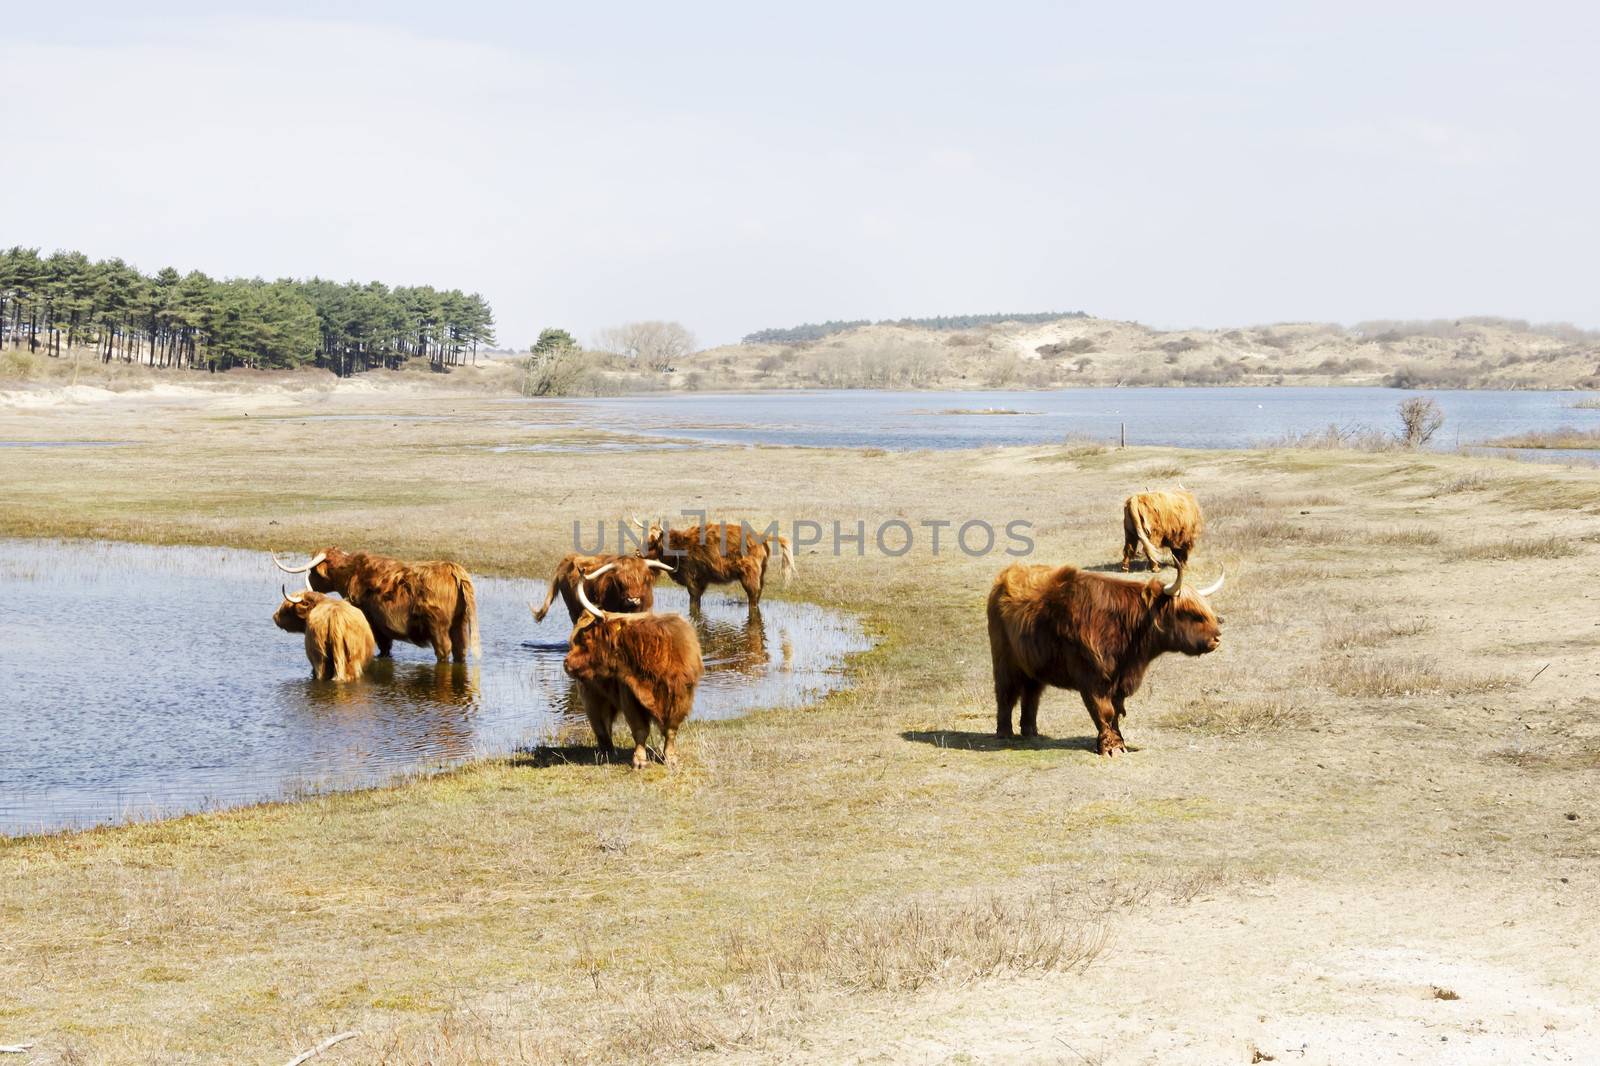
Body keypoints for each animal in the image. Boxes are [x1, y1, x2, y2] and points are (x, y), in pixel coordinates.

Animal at [268, 544, 476, 659]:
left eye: (312, 571)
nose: (310, 582)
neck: (352, 573)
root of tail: (453, 570)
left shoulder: (374, 622)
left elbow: (383, 645)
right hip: (459, 623)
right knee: (460, 650)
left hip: (438, 626)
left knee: (444, 650)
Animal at [569, 573, 707, 765]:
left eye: (586, 639)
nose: (566, 663)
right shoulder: (630, 697)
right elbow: (640, 730)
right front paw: (639, 760)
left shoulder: (681, 696)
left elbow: (671, 729)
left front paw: (670, 758)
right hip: (592, 695)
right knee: (601, 725)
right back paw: (607, 752)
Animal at [985, 560, 1222, 752]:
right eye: (1189, 613)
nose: (1217, 637)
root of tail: (1005, 576)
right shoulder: (1093, 678)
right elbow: (1104, 711)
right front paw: (1111, 748)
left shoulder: (1119, 681)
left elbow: (1115, 712)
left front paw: (1120, 741)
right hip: (1004, 660)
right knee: (1005, 693)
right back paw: (1005, 733)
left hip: (1033, 664)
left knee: (1031, 694)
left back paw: (1031, 731)